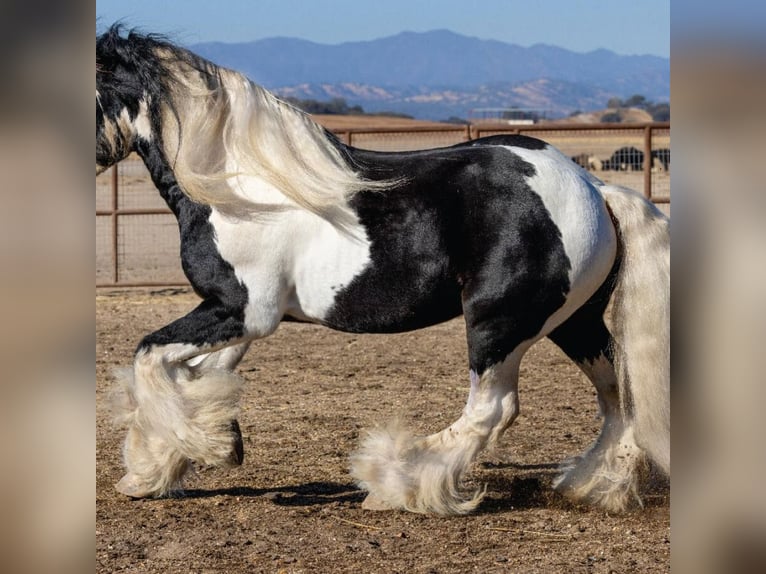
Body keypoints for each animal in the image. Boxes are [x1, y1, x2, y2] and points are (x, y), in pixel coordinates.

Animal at [97, 24, 672, 516]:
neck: (240, 189)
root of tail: (594, 188)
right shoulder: (240, 320)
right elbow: (192, 380)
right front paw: (164, 465)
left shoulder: (243, 311)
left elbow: (149, 357)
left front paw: (203, 450)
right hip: (572, 322)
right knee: (618, 394)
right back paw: (592, 486)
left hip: (499, 323)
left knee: (493, 409)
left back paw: (397, 482)